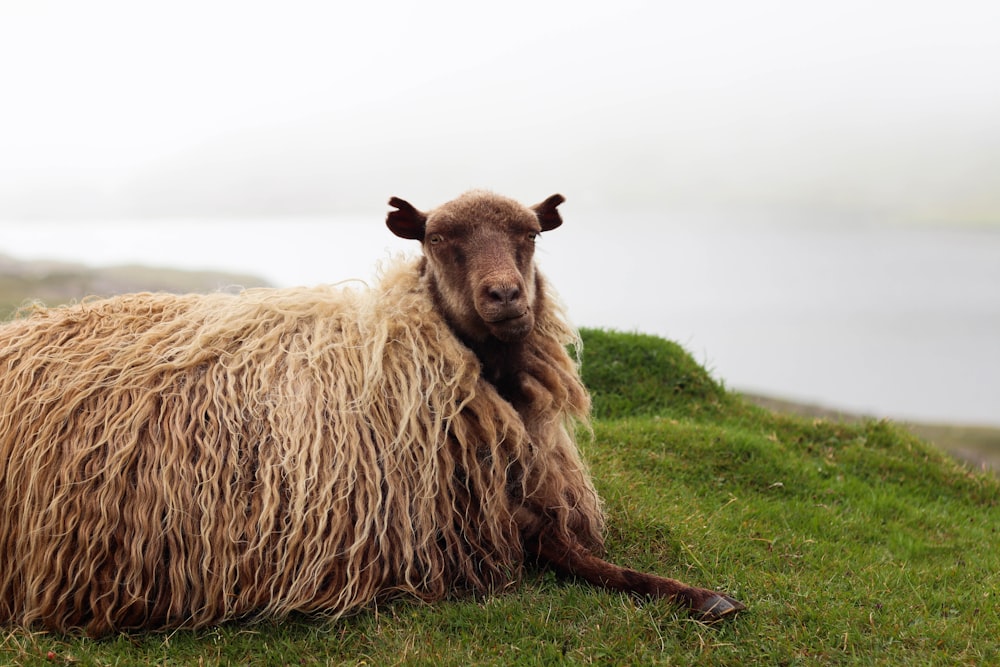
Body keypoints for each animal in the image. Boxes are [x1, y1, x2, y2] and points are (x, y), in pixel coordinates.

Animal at [0, 190, 744, 636]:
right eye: (438, 238)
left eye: (531, 233)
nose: (505, 296)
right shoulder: (476, 531)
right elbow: (582, 563)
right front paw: (701, 597)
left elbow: (601, 563)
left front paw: (701, 594)